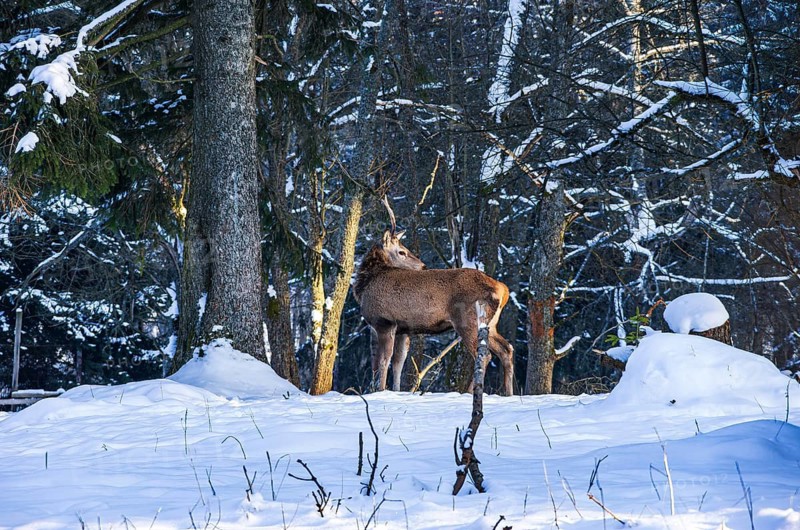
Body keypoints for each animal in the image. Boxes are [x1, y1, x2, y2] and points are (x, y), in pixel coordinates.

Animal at [353, 197, 515, 396]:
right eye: (402, 251)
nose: (423, 266)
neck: (366, 284)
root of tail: (503, 290)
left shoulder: (384, 321)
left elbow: (383, 361)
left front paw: (380, 391)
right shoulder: (402, 328)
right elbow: (398, 362)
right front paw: (396, 391)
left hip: (468, 320)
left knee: (483, 355)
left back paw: (469, 392)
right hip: (491, 324)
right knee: (506, 349)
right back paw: (508, 393)